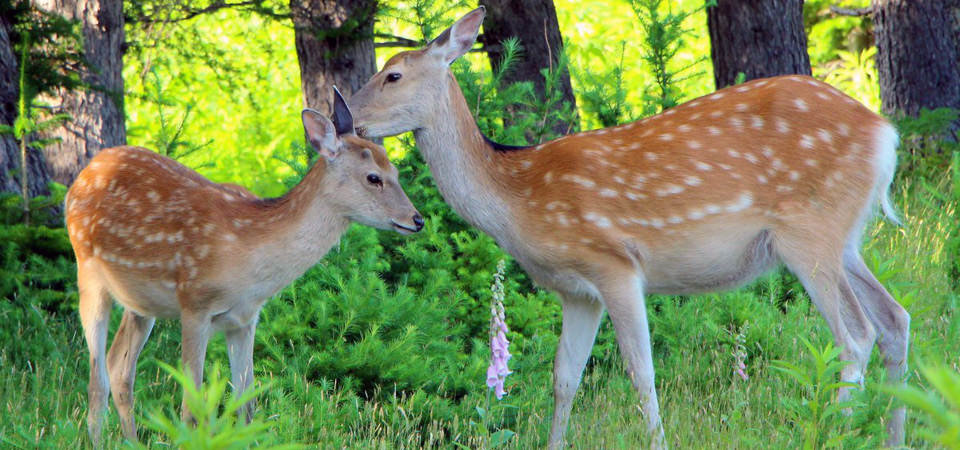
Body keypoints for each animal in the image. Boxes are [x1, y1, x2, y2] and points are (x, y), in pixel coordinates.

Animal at [65, 89, 422, 446]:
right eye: (373, 177)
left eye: (395, 170)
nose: (416, 219)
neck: (249, 259)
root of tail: (85, 173)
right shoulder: (194, 303)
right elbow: (191, 407)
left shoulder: (245, 319)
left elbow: (246, 404)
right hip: (88, 273)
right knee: (97, 377)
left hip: (140, 303)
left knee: (119, 367)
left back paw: (133, 441)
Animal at [348, 7, 912, 450]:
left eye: (393, 74)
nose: (347, 115)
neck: (516, 199)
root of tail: (885, 134)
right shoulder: (577, 291)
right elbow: (564, 378)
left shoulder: (613, 262)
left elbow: (642, 373)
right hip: (844, 238)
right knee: (895, 319)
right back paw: (893, 437)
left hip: (808, 231)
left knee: (855, 336)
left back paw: (836, 432)